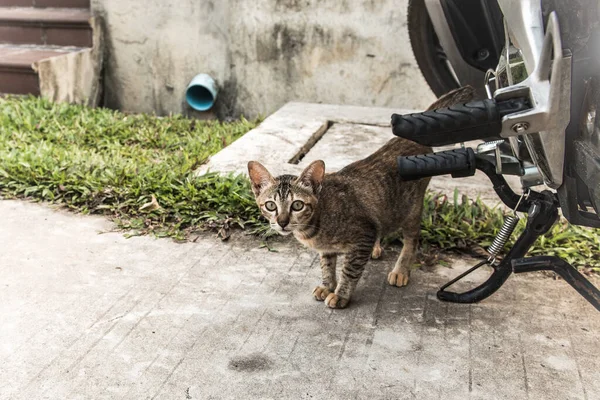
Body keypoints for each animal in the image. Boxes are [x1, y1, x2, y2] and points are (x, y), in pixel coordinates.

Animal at [248, 86, 474, 308]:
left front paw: (341, 295)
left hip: (411, 208)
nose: (282, 222)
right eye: (270, 205)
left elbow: (350, 270)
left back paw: (401, 270)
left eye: (297, 205)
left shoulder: (362, 235)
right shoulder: (333, 246)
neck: (314, 226)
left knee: (412, 239)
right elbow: (327, 265)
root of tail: (407, 138)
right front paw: (328, 285)